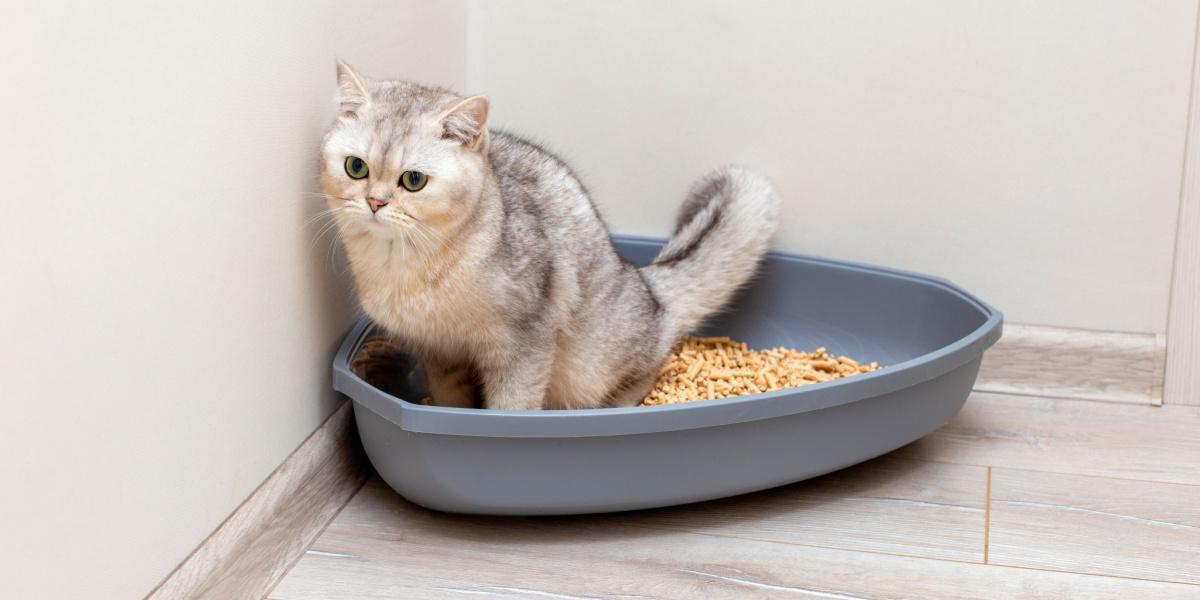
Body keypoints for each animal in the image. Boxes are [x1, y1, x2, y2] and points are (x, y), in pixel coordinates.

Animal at [319, 59, 777, 408]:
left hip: (592, 362)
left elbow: (511, 407)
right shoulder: (439, 354)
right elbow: (452, 403)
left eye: (413, 180)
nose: (375, 202)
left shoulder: (524, 346)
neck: (405, 268)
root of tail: (646, 283)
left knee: (655, 356)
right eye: (356, 167)